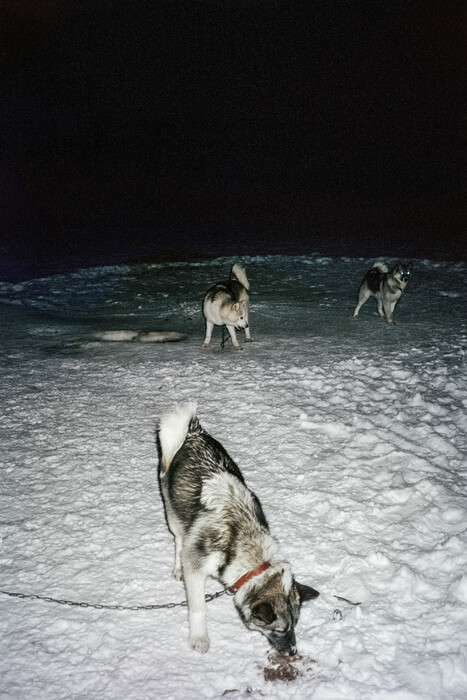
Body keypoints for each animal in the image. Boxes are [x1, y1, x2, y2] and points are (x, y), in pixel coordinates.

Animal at [157, 404, 318, 656]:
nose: (293, 651)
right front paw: (199, 638)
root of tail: (193, 432)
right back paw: (177, 566)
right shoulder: (195, 566)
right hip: (173, 514)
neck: (244, 542)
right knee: (179, 541)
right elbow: (198, 607)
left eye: (296, 624)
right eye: (280, 629)